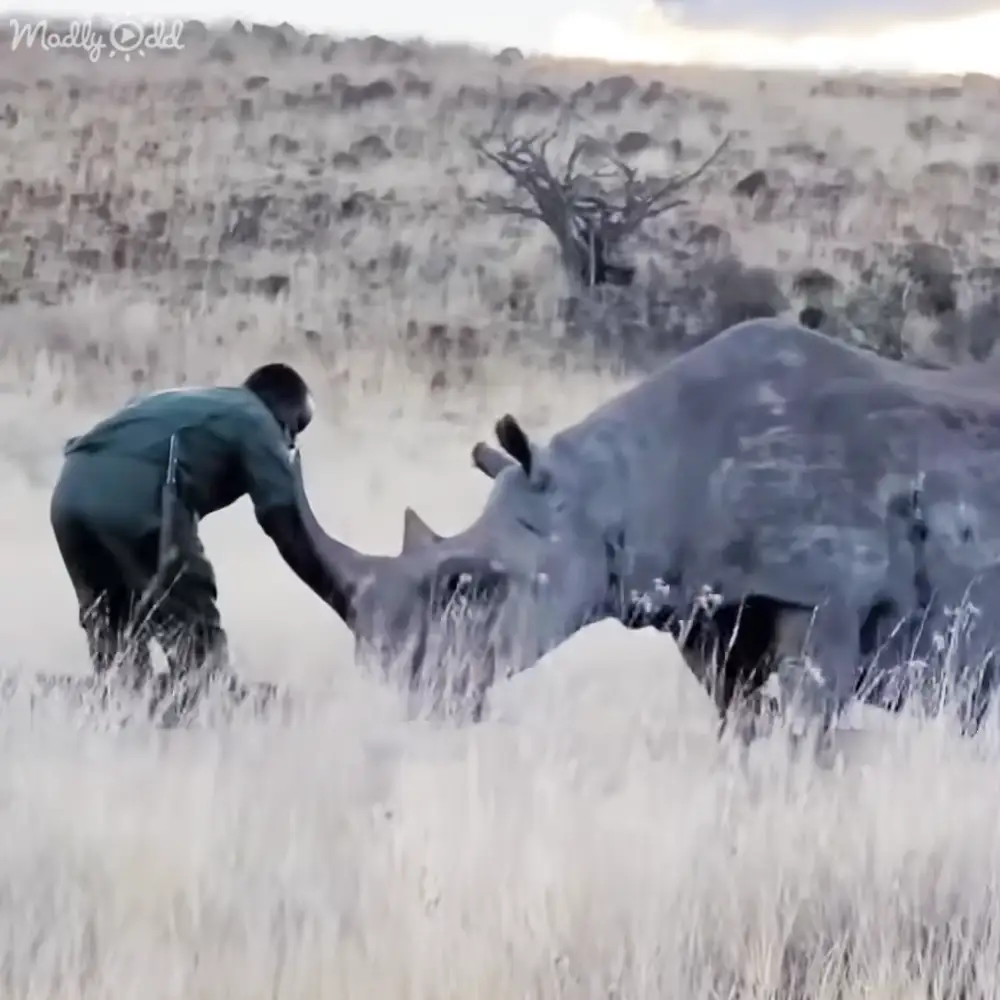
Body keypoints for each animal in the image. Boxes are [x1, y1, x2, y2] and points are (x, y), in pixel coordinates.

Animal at [295, 318, 1000, 737]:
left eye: (469, 586)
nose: (405, 686)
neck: (617, 488)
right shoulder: (709, 614)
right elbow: (741, 724)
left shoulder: (826, 597)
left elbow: (807, 727)